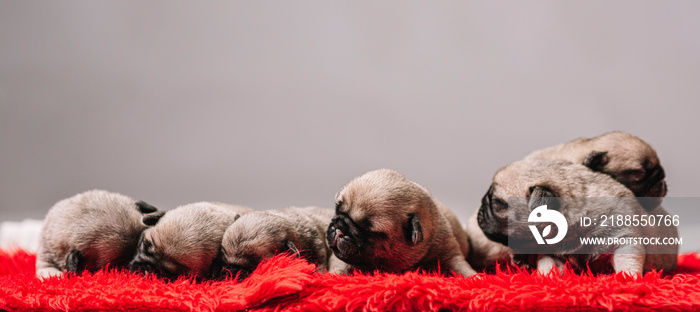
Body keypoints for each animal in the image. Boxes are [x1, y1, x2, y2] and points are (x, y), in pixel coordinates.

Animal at [326, 169, 478, 276]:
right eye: (337, 209)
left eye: (367, 229)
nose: (339, 228)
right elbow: (339, 267)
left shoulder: (450, 254)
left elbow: (461, 268)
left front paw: (475, 277)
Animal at [476, 160, 680, 274]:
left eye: (496, 202)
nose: (480, 209)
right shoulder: (550, 252)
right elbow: (547, 264)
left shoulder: (625, 240)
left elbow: (627, 263)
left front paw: (627, 279)